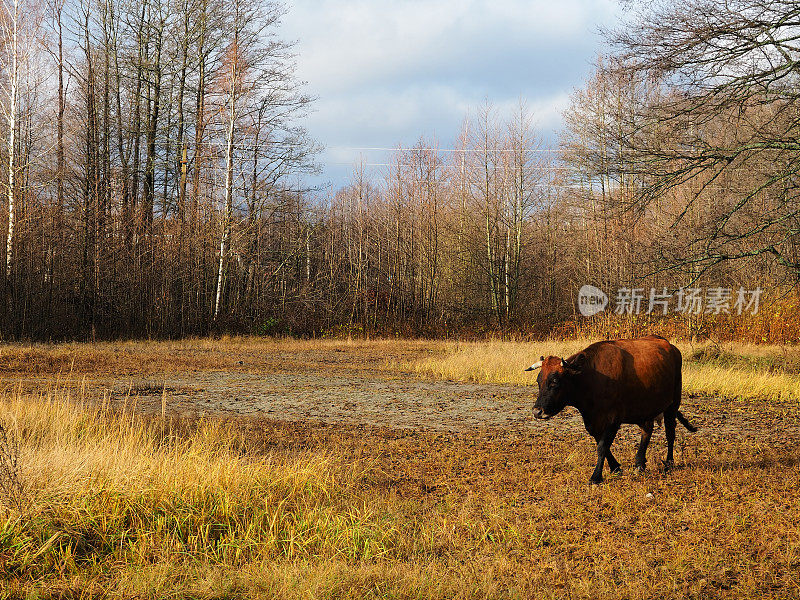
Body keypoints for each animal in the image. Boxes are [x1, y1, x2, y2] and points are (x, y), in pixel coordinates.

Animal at [524, 338, 692, 482]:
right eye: (539, 381)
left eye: (555, 382)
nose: (537, 411)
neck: (591, 379)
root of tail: (670, 346)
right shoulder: (592, 421)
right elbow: (601, 443)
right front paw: (615, 467)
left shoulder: (614, 419)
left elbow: (603, 446)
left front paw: (596, 477)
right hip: (645, 408)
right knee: (647, 430)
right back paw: (639, 463)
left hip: (672, 404)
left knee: (670, 433)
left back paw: (669, 463)